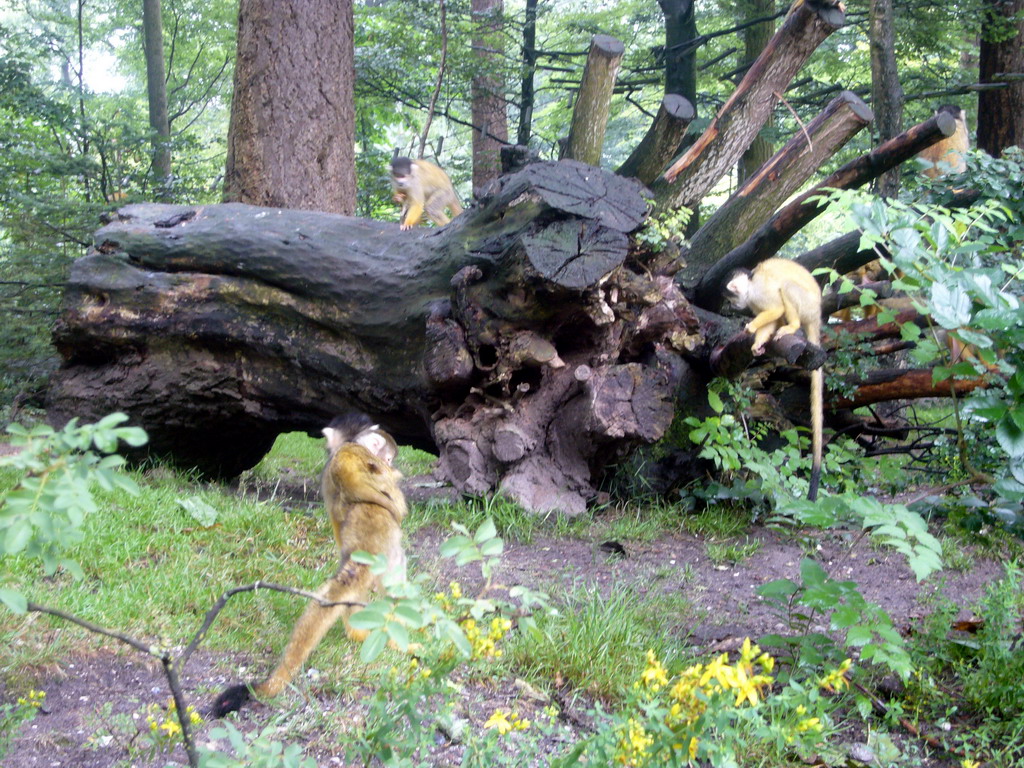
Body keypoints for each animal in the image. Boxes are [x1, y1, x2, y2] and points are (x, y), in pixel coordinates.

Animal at [729, 259, 823, 501]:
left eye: (732, 297)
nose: (734, 306)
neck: (751, 284)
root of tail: (817, 315)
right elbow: (771, 318)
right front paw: (757, 344)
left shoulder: (759, 293)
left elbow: (775, 308)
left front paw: (752, 327)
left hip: (807, 305)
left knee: (787, 288)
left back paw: (792, 326)